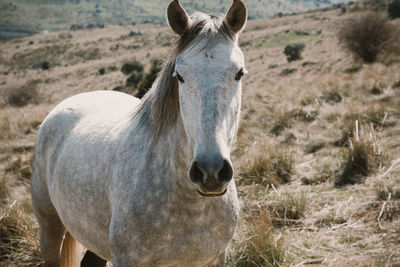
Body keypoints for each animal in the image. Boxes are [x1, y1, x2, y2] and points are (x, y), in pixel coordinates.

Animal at [31, 1, 248, 266]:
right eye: (179, 76)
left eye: (239, 73)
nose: (210, 171)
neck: (192, 204)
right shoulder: (128, 258)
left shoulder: (215, 258)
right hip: (49, 225)